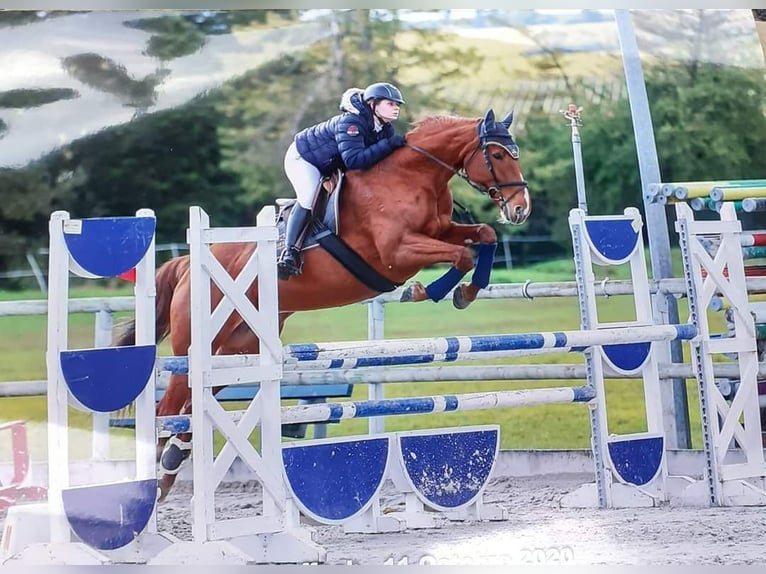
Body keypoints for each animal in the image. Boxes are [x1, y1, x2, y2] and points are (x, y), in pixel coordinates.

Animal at [115, 109, 536, 504]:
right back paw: (154, 486)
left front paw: (467, 292)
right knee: (167, 410)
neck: (413, 177)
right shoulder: (397, 253)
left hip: (236, 349)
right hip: (195, 348)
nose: (521, 210)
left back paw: (170, 469)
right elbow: (461, 256)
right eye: (499, 154)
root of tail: (189, 263)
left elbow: (484, 236)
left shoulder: (440, 231)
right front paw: (424, 291)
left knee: (188, 410)